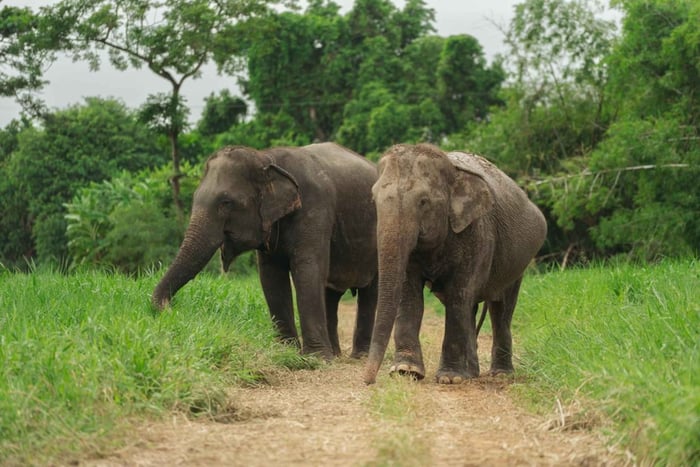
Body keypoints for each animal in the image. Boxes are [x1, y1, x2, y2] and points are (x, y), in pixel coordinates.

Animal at [152, 142, 378, 361]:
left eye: (226, 203)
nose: (169, 309)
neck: (267, 158)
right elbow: (271, 277)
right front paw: (287, 352)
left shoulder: (316, 209)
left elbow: (308, 269)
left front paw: (316, 359)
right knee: (331, 294)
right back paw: (337, 354)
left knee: (371, 291)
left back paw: (359, 357)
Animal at [363, 143, 546, 384]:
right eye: (374, 200)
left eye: (423, 201)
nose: (368, 381)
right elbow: (410, 295)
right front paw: (406, 371)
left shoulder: (476, 232)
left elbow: (459, 294)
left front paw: (450, 379)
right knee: (472, 308)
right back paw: (472, 373)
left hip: (518, 263)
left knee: (500, 310)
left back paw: (500, 374)